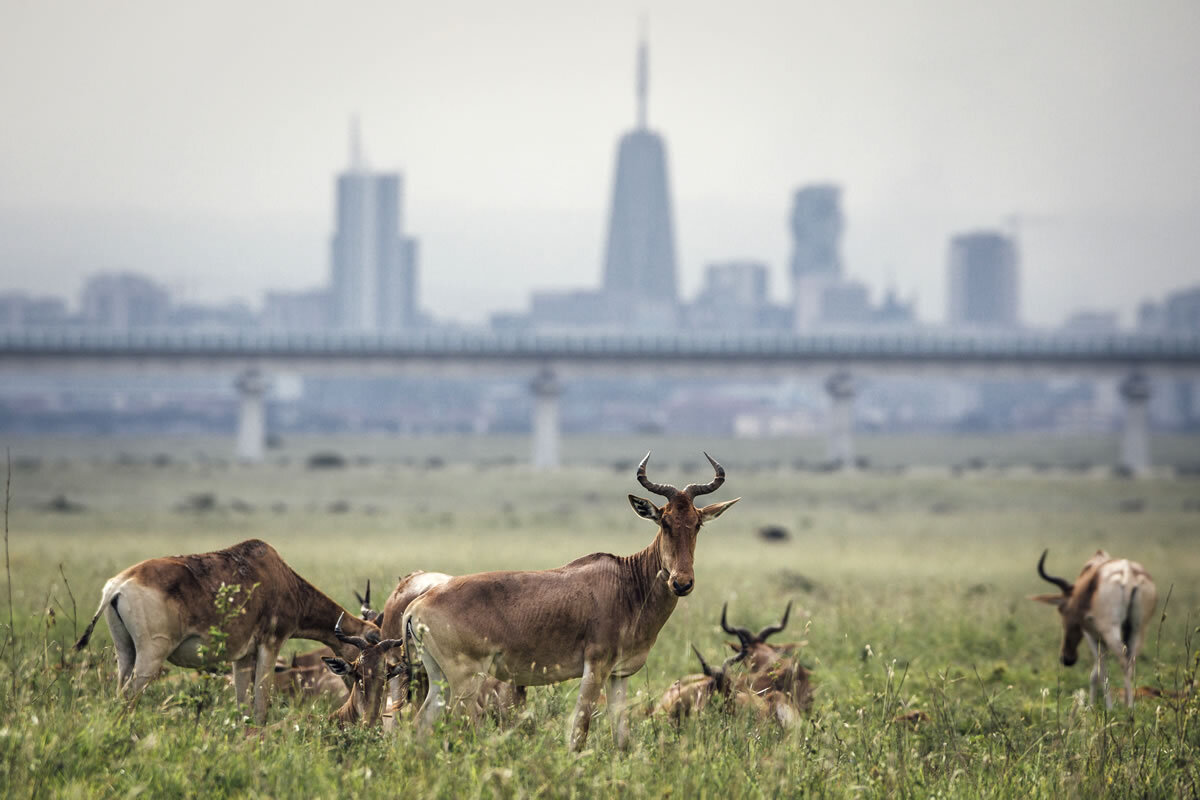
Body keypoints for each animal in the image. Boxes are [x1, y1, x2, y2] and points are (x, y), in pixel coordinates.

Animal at [73, 542, 379, 724]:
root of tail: (117, 587)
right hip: (151, 655)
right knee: (128, 699)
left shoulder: (241, 657)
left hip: (125, 651)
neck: (277, 574)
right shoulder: (270, 645)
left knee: (119, 693)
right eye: (368, 644)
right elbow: (261, 706)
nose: (354, 692)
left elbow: (244, 706)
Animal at [408, 453, 734, 753]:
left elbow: (622, 738)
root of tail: (418, 605)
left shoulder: (619, 675)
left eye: (696, 523)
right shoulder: (595, 667)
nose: (681, 583)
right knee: (460, 726)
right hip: (466, 679)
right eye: (664, 522)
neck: (627, 583)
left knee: (421, 724)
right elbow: (580, 732)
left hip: (438, 678)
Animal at [1027, 546, 1156, 710]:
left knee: (1121, 660)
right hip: (1138, 629)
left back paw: (1125, 708)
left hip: (1110, 631)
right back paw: (1129, 704)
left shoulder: (1092, 635)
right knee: (1131, 660)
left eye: (1062, 609)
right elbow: (1096, 671)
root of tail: (1128, 574)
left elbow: (1098, 672)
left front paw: (1095, 707)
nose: (1067, 659)